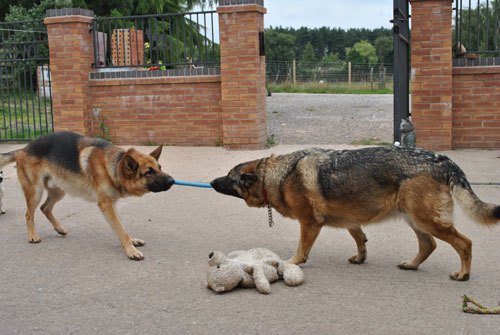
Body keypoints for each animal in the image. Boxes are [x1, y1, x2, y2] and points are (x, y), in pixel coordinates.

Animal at [0, 133, 174, 262]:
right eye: (149, 172)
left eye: (160, 167)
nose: (172, 180)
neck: (114, 165)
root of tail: (24, 148)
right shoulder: (106, 205)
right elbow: (120, 228)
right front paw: (130, 250)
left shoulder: (112, 204)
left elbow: (122, 225)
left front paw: (132, 241)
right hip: (35, 192)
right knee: (29, 213)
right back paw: (33, 235)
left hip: (59, 191)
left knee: (45, 208)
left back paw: (59, 228)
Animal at [211, 147, 500, 280]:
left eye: (229, 177)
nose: (212, 182)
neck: (277, 176)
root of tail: (444, 160)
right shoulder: (351, 220)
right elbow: (360, 239)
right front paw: (361, 257)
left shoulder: (309, 223)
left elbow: (301, 250)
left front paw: (291, 262)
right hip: (416, 220)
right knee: (428, 245)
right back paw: (411, 264)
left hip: (428, 220)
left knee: (464, 243)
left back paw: (463, 274)